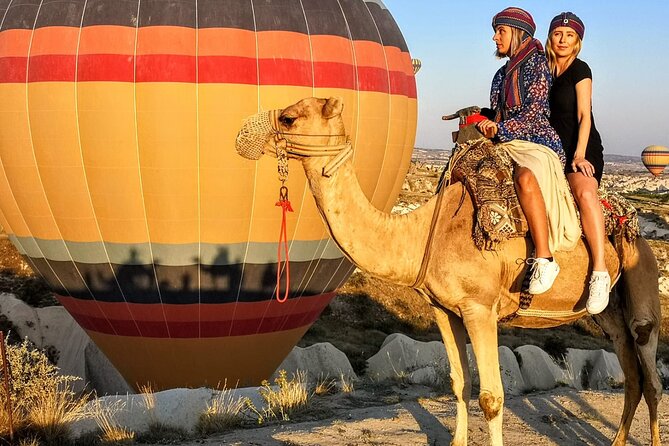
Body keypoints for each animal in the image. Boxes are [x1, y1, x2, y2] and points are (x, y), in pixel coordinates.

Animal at [236, 97, 662, 446]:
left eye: (289, 117)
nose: (243, 135)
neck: (425, 232)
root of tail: (634, 226)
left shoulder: (480, 308)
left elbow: (492, 396)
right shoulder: (444, 309)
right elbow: (460, 384)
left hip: (642, 286)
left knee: (652, 377)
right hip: (610, 313)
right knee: (633, 374)